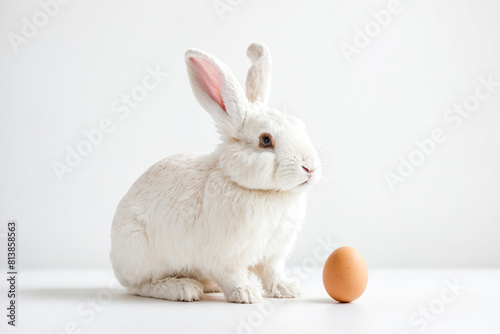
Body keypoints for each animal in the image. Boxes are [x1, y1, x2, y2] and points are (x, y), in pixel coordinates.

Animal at [109, 41, 320, 302]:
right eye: (266, 140)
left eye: (300, 126)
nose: (309, 167)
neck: (264, 193)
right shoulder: (224, 257)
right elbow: (233, 275)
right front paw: (246, 294)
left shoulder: (272, 254)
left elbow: (273, 273)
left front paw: (287, 290)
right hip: (141, 251)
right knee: (140, 286)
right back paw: (184, 288)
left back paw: (209, 286)